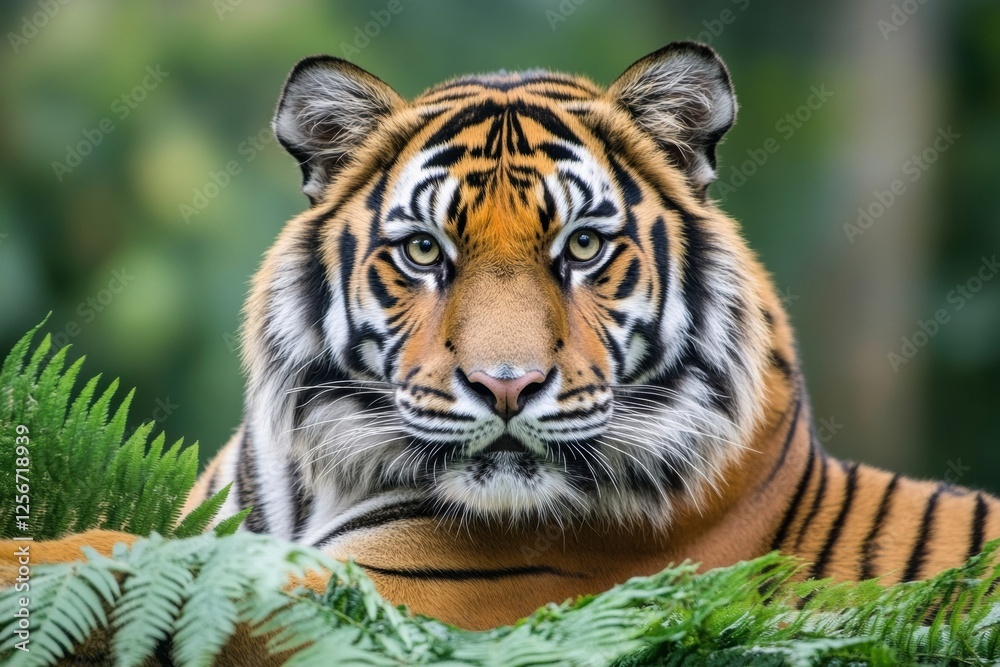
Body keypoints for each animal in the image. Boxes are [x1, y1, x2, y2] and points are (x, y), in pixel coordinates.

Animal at [11, 42, 1000, 633]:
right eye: (423, 251)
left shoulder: (370, 592)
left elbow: (104, 559)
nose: (508, 385)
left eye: (584, 247)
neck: (318, 473)